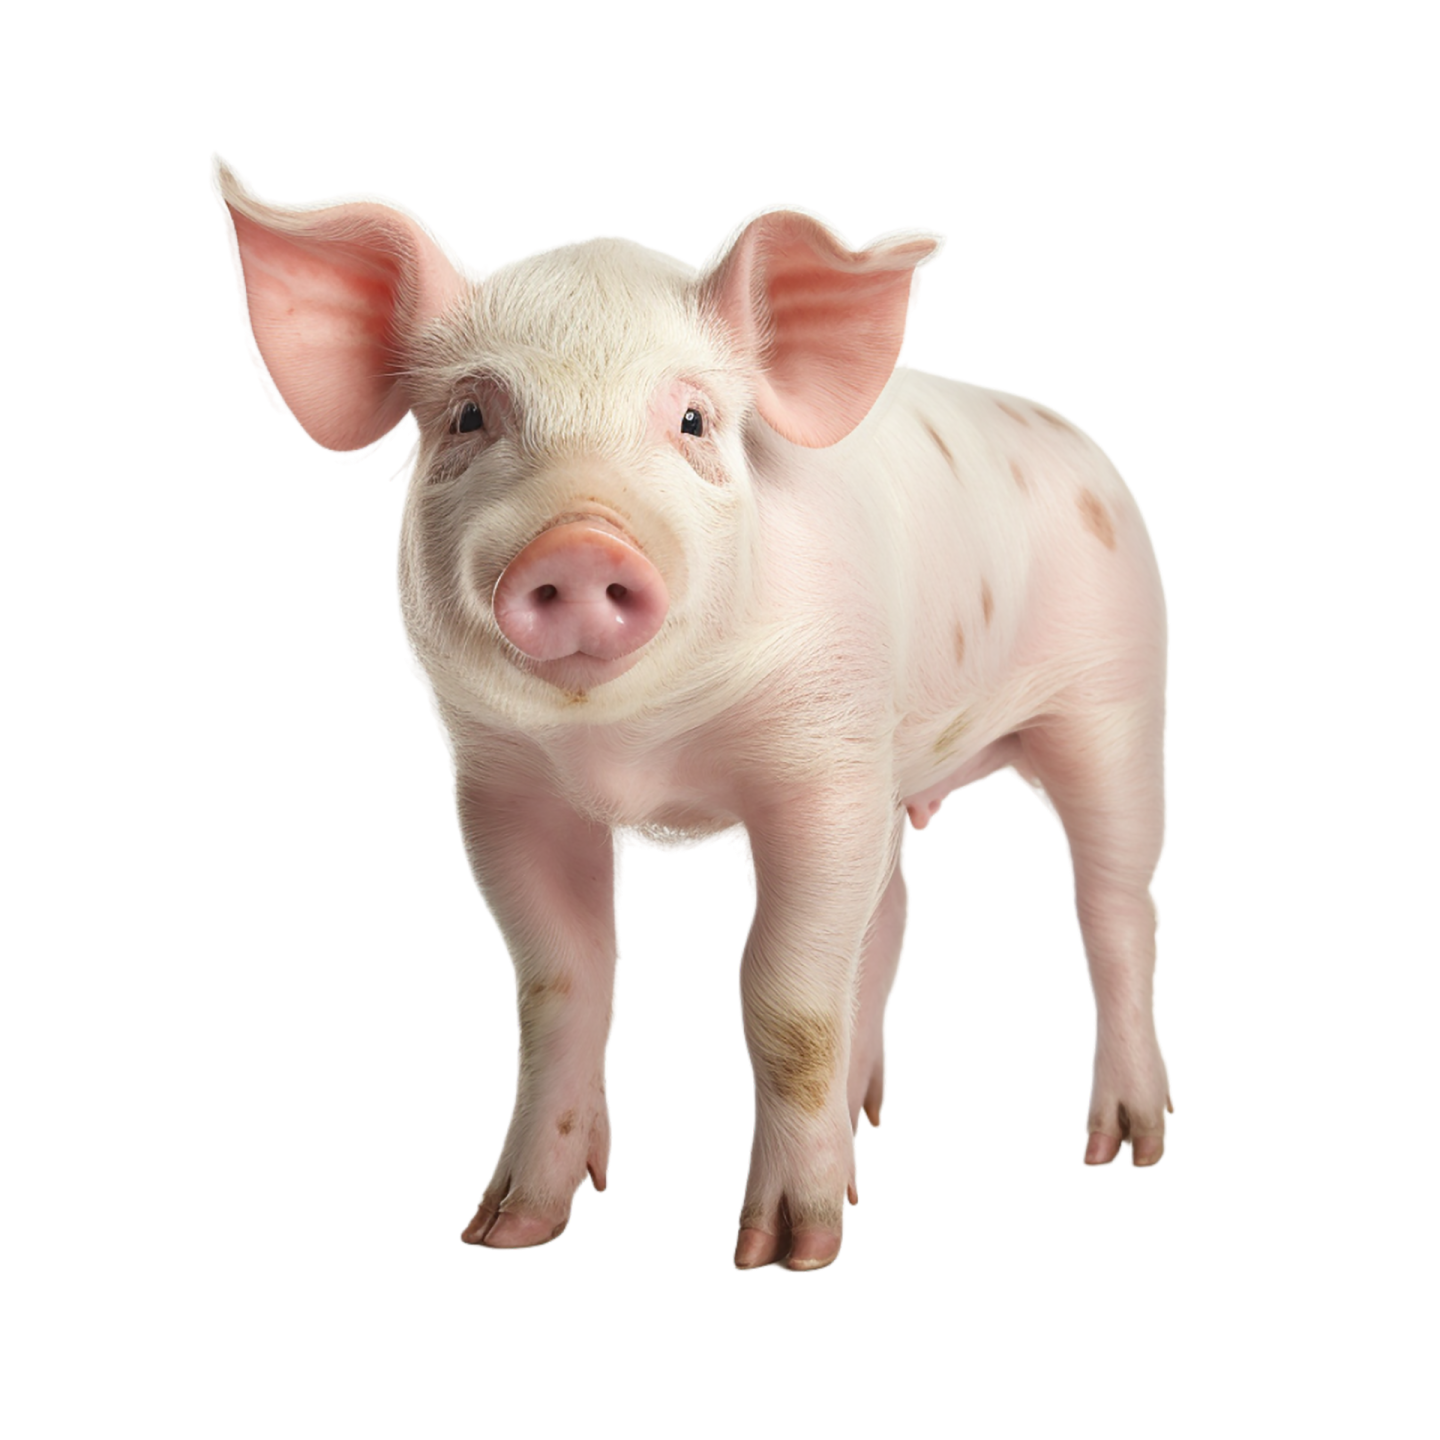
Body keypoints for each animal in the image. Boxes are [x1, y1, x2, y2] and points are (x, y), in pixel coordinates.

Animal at [209, 152, 1173, 1272]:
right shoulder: (501, 785)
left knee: (1115, 910)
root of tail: (1083, 443)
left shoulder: (818, 762)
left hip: (1117, 703)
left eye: (693, 421)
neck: (629, 751)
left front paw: (786, 1253)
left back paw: (1123, 1147)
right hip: (896, 774)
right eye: (470, 416)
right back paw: (862, 1141)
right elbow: (560, 984)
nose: (580, 543)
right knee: (890, 915)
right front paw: (507, 1230)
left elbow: (786, 998)